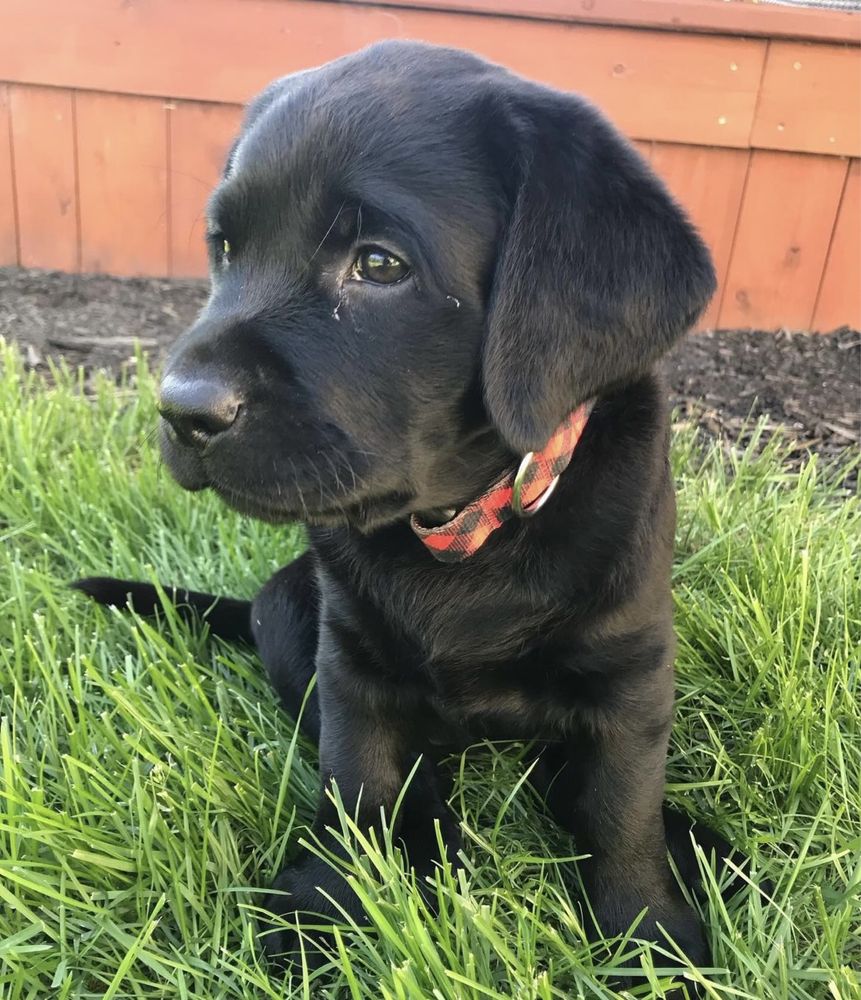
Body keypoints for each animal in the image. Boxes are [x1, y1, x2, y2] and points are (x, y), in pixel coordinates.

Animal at [77, 41, 744, 984]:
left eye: (380, 264)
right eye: (226, 248)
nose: (181, 410)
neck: (463, 528)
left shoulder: (632, 672)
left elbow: (620, 809)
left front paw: (650, 939)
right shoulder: (350, 659)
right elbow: (357, 784)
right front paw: (327, 907)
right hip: (291, 612)